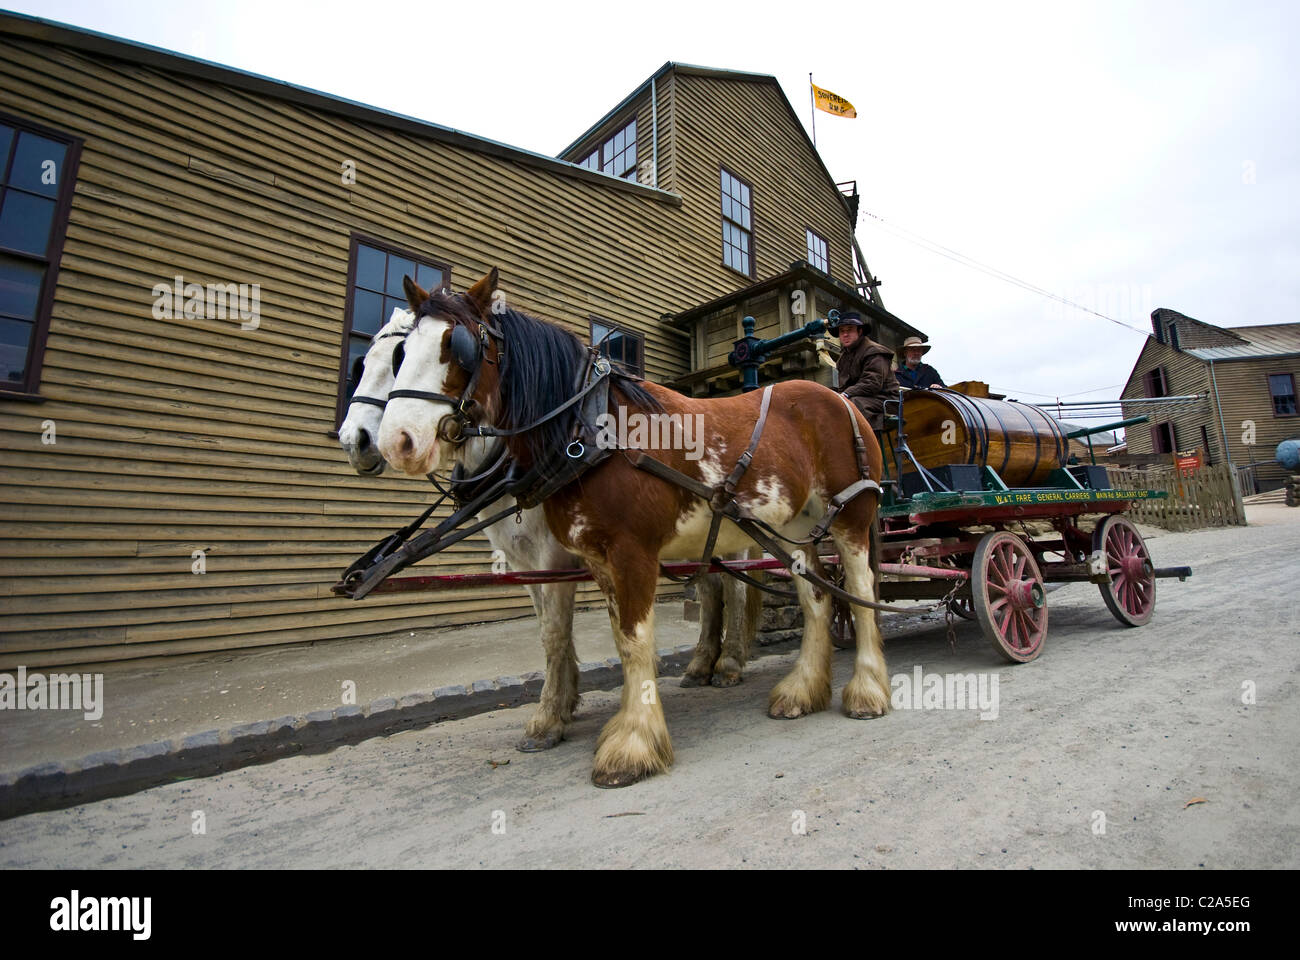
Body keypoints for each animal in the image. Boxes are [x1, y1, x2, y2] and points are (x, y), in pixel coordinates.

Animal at [371, 269, 889, 785]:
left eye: (456, 345)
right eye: (403, 352)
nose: (396, 442)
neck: (592, 430)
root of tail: (839, 399)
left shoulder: (630, 552)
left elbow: (636, 642)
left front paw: (634, 744)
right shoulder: (597, 560)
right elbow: (619, 641)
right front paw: (616, 724)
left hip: (851, 516)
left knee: (860, 591)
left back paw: (867, 690)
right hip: (792, 530)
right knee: (817, 598)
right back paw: (802, 690)